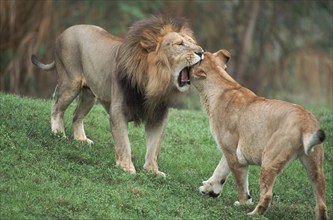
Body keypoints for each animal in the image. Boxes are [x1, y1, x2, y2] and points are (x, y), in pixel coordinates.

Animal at [31, 16, 202, 176]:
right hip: (70, 83)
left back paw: (81, 139)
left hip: (89, 94)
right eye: (180, 44)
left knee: (76, 115)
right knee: (56, 107)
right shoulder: (118, 111)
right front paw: (126, 168)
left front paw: (152, 170)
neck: (154, 81)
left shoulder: (158, 115)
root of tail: (64, 32)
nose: (201, 52)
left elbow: (154, 147)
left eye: (192, 42)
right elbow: (123, 142)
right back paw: (58, 134)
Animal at [189, 50, 326, 220]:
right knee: (321, 201)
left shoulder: (233, 152)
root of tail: (306, 120)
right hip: (315, 166)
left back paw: (253, 213)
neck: (221, 86)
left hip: (270, 160)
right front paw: (209, 189)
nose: (198, 52)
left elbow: (239, 181)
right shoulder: (229, 149)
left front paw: (243, 202)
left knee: (267, 194)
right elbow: (220, 170)